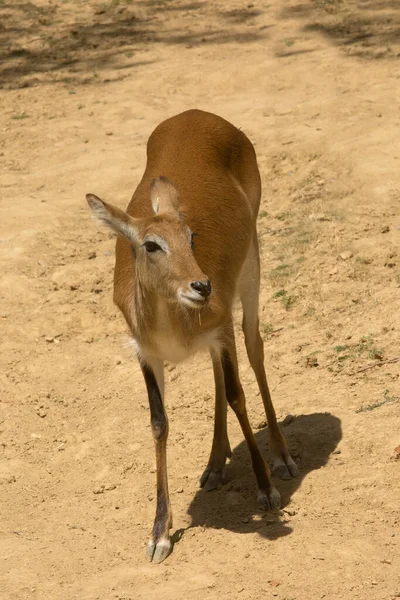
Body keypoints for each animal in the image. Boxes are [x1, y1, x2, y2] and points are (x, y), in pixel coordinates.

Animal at [86, 108, 298, 564]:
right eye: (151, 244)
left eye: (191, 236)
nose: (201, 286)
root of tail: (197, 114)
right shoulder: (146, 353)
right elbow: (159, 423)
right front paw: (159, 535)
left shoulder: (219, 327)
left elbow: (237, 396)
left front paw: (267, 490)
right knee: (220, 375)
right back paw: (214, 466)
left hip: (251, 270)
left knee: (254, 348)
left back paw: (283, 458)